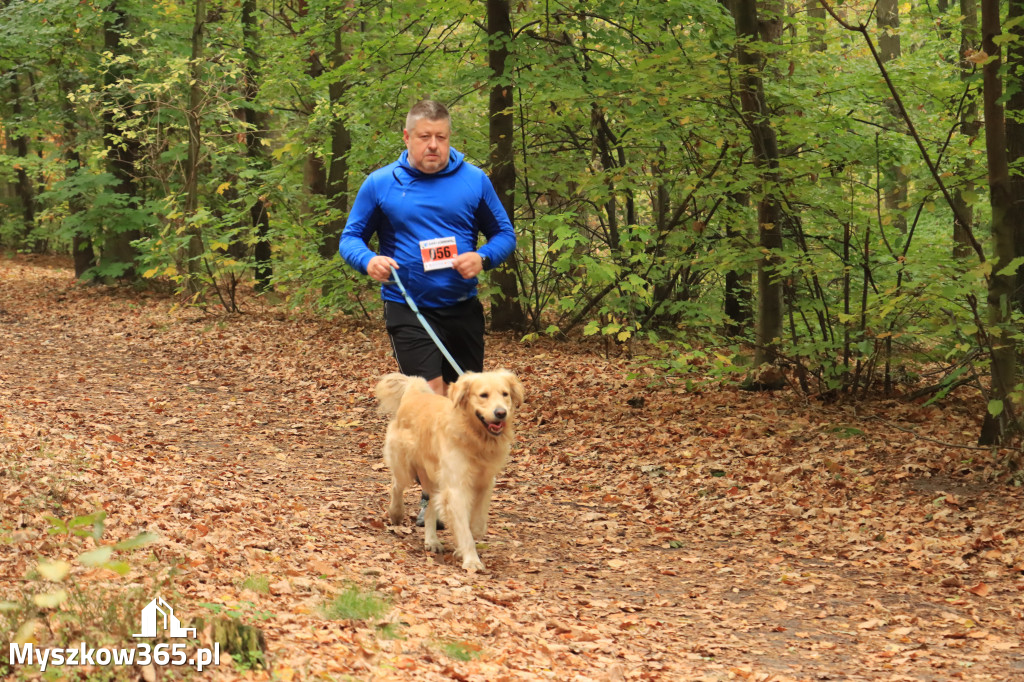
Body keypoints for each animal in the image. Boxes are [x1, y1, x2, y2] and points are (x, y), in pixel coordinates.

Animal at [374, 368, 524, 569]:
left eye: (505, 394)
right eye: (483, 395)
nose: (501, 413)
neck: (474, 437)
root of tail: (414, 392)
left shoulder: (485, 481)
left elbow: (476, 523)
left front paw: (464, 546)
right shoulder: (456, 487)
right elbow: (464, 527)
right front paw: (471, 560)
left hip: (435, 477)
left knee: (430, 505)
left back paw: (432, 540)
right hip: (404, 465)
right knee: (396, 486)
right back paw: (396, 513)